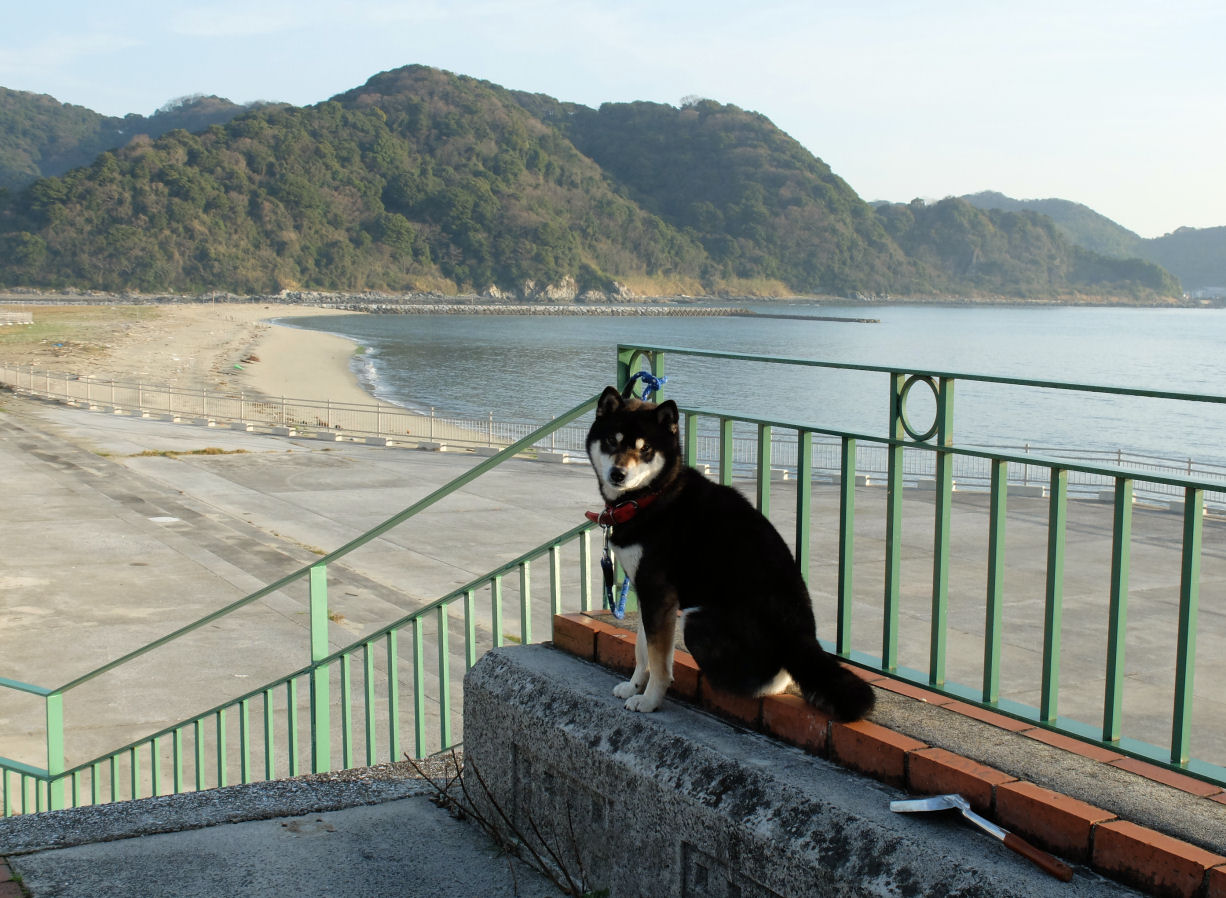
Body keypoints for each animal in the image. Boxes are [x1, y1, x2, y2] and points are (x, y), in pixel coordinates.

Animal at [585, 385, 875, 720]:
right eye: (611, 441)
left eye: (645, 450)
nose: (618, 474)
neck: (651, 497)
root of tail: (800, 638)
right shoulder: (648, 594)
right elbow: (643, 649)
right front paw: (634, 686)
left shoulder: (659, 593)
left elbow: (659, 661)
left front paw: (650, 700)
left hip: (697, 620)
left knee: (766, 681)